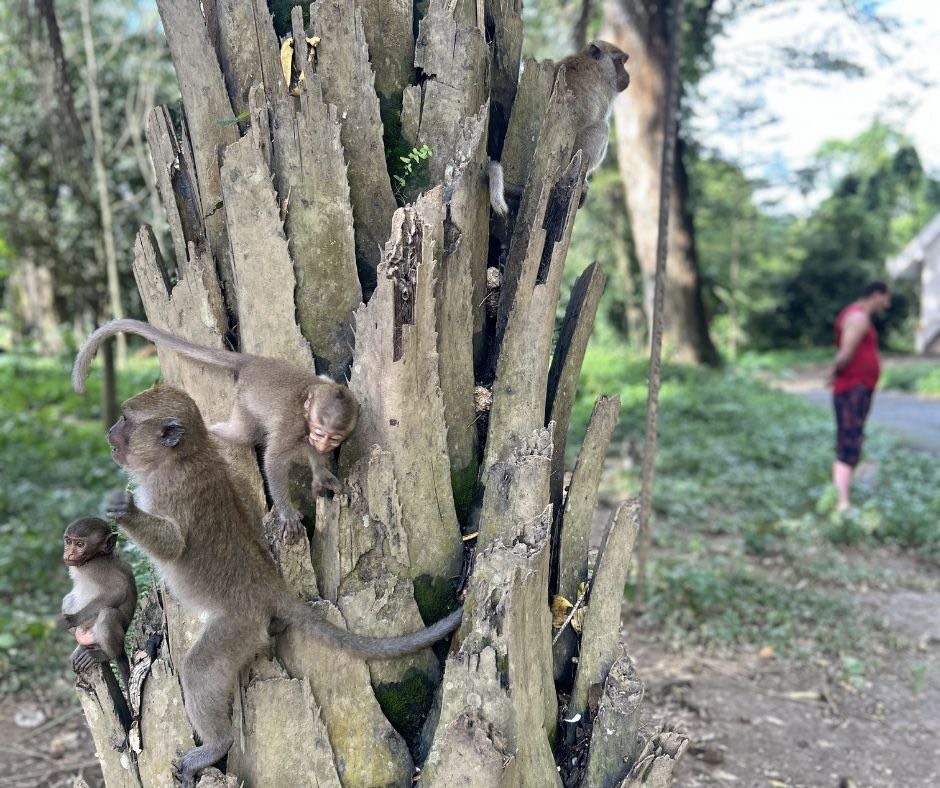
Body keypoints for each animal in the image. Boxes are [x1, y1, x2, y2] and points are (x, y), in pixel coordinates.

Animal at [60, 517, 138, 689]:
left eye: (80, 544)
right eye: (68, 541)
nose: (69, 553)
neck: (92, 558)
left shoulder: (97, 567)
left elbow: (117, 590)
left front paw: (72, 619)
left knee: (108, 613)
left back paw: (106, 654)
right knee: (68, 599)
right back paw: (84, 647)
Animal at [72, 318, 359, 544]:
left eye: (334, 438)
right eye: (321, 433)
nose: (324, 444)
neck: (307, 409)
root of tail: (255, 362)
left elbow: (309, 452)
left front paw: (322, 475)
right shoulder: (293, 426)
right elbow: (274, 461)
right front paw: (287, 513)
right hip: (243, 398)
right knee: (243, 435)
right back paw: (213, 431)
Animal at [103, 383, 462, 788]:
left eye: (126, 420)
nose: (111, 432)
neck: (181, 456)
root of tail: (268, 585)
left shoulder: (169, 490)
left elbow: (172, 545)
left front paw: (126, 512)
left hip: (240, 624)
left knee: (198, 669)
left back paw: (216, 745)